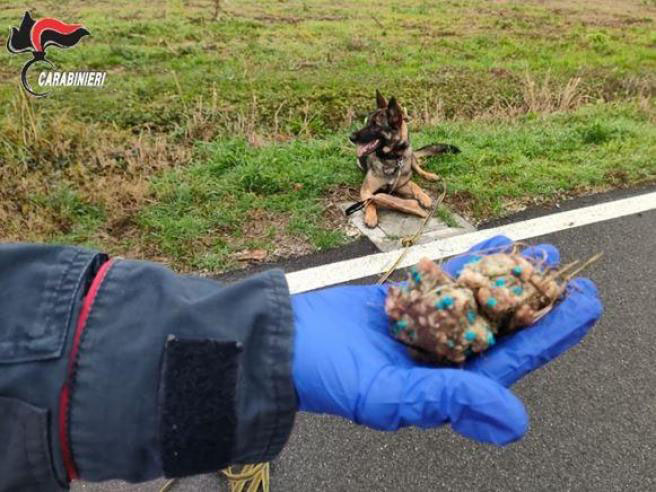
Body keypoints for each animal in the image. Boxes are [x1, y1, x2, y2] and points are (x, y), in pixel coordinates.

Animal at [348, 91, 462, 229]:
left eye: (375, 125)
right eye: (366, 123)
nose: (350, 137)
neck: (392, 157)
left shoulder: (399, 186)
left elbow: (413, 185)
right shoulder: (366, 190)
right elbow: (370, 201)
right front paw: (371, 216)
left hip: (409, 156)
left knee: (417, 172)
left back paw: (428, 183)